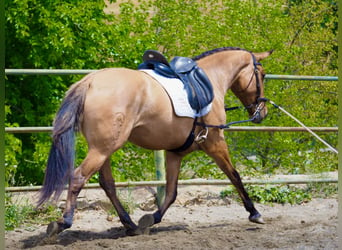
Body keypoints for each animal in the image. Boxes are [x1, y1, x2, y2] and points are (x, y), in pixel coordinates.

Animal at [38, 47, 272, 236]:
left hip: (104, 149)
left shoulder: (175, 153)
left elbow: (171, 192)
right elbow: (235, 175)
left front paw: (152, 218)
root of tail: (91, 81)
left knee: (107, 184)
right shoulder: (215, 143)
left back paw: (131, 225)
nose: (262, 113)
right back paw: (63, 222)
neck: (209, 81)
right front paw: (255, 213)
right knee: (78, 177)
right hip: (102, 149)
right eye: (261, 74)